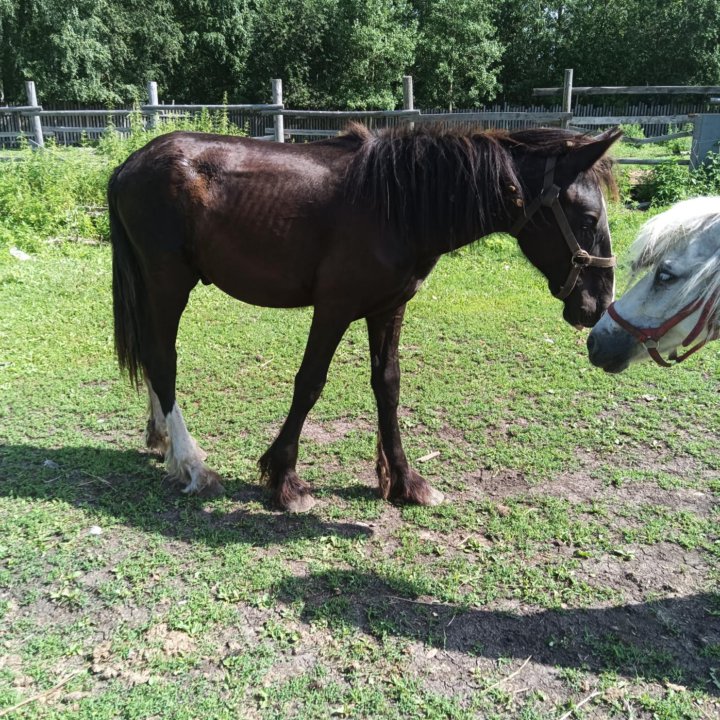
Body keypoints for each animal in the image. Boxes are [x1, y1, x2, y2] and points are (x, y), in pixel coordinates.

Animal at [109, 122, 620, 512]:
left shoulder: (388, 309)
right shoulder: (334, 308)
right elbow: (309, 383)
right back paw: (191, 464)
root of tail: (129, 164)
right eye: (588, 219)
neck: (397, 207)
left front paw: (406, 481)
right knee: (163, 360)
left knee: (153, 357)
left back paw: (162, 440)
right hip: (168, 283)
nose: (597, 305)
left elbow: (388, 387)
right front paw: (285, 480)